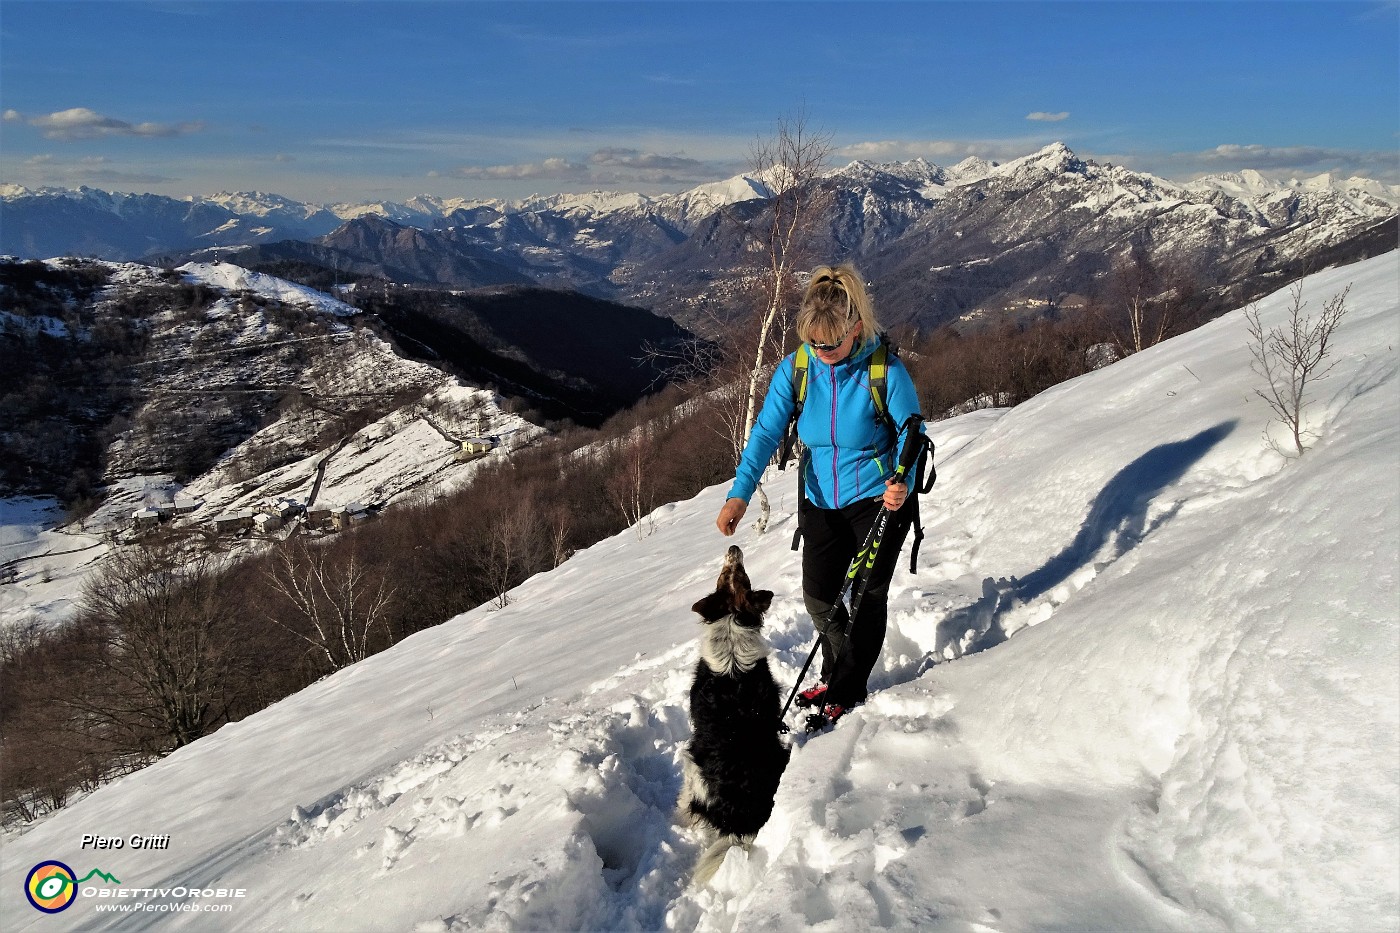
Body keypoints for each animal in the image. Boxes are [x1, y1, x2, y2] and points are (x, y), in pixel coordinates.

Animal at [680, 540, 795, 885]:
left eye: (738, 574)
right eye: (726, 576)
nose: (733, 546)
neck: (733, 621)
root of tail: (739, 821)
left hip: (691, 763)